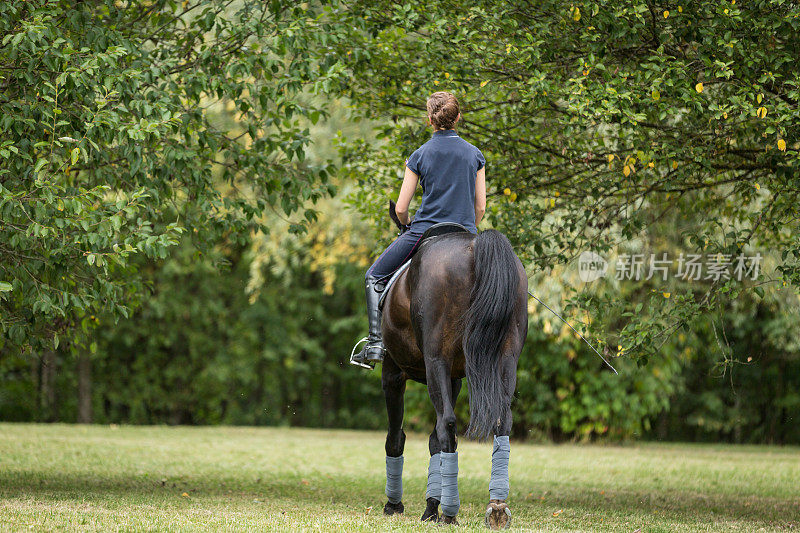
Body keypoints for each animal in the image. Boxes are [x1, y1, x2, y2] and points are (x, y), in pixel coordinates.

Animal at [378, 202, 528, 524]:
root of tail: (474, 247)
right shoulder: (456, 378)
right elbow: (432, 440)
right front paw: (429, 506)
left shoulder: (393, 373)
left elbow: (397, 436)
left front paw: (396, 505)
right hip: (505, 360)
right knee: (502, 419)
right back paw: (496, 506)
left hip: (435, 363)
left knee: (446, 423)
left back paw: (449, 511)